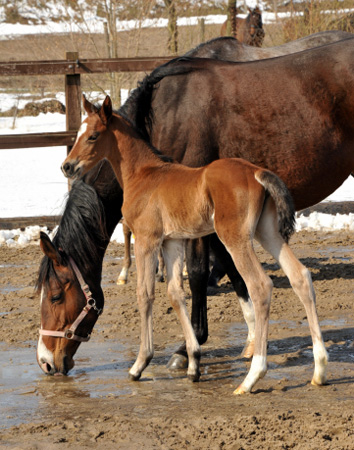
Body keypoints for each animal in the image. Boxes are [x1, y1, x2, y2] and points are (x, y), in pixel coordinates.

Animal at [61, 96, 330, 394]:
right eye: (77, 134)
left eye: (93, 136)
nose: (67, 166)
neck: (144, 174)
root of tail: (257, 172)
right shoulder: (172, 241)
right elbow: (175, 293)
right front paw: (192, 363)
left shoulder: (147, 239)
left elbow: (145, 294)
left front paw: (140, 364)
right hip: (267, 231)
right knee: (300, 276)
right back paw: (319, 369)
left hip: (235, 237)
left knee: (260, 286)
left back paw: (252, 377)